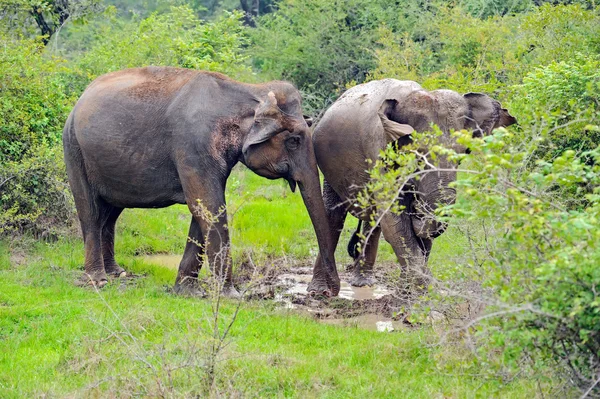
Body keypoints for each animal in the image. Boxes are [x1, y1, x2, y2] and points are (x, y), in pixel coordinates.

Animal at [63, 66, 340, 296]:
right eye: (294, 140)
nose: (327, 292)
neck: (249, 90)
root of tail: (79, 101)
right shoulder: (193, 146)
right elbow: (210, 206)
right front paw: (230, 295)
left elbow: (202, 209)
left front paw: (187, 292)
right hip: (74, 149)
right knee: (90, 212)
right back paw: (98, 280)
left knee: (111, 214)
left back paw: (116, 273)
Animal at [304, 79, 516, 296]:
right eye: (418, 154)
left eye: (461, 155)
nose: (417, 213)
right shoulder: (379, 147)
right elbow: (393, 220)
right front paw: (422, 291)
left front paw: (409, 292)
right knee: (334, 214)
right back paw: (320, 291)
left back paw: (363, 283)